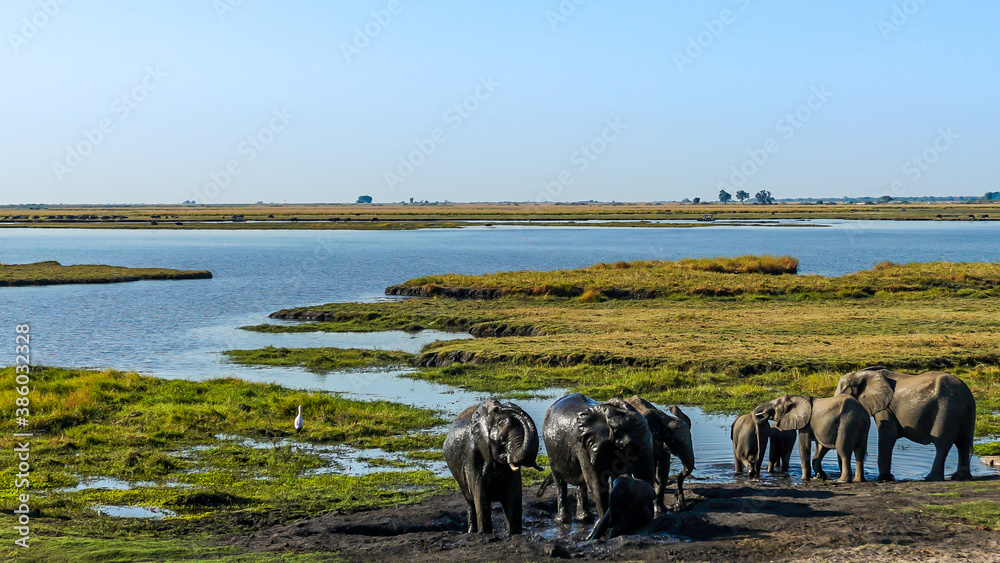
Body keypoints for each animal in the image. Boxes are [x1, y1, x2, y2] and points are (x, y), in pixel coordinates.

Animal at [444, 398, 540, 534]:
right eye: (502, 442)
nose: (501, 407)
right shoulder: (472, 455)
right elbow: (481, 497)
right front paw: (484, 533)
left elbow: (513, 496)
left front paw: (514, 534)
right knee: (471, 502)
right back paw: (471, 532)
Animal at [542, 393, 655, 523]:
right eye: (629, 447)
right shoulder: (583, 446)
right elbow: (597, 482)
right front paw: (603, 523)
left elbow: (619, 477)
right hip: (550, 450)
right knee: (560, 481)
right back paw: (563, 520)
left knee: (581, 483)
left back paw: (584, 518)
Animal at [835, 366, 976, 482]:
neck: (863, 374)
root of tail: (968, 395)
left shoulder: (886, 407)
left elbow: (888, 433)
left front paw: (885, 478)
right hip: (964, 413)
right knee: (964, 443)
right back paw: (960, 477)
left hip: (947, 409)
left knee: (942, 443)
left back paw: (931, 478)